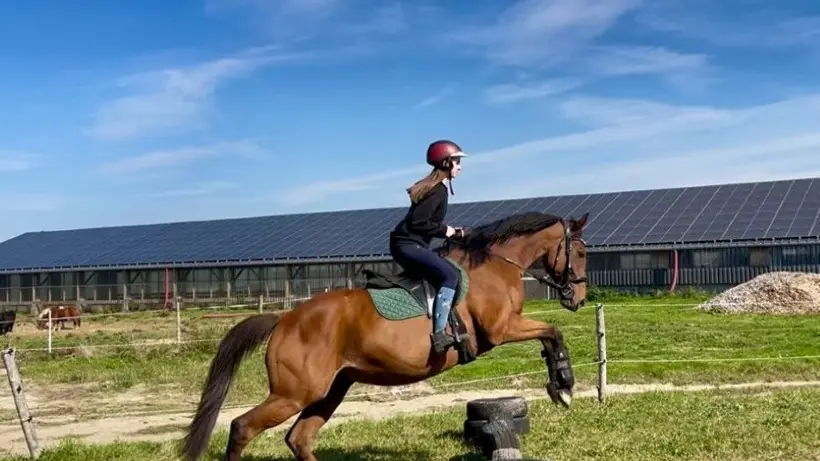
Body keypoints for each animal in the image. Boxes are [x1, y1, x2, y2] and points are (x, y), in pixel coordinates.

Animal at [181, 211, 590, 461]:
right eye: (582, 252)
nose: (580, 298)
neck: (494, 266)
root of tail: (284, 319)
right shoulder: (502, 329)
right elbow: (554, 333)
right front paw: (564, 386)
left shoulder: (508, 329)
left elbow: (550, 336)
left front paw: (561, 386)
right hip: (295, 393)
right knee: (243, 427)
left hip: (330, 390)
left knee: (299, 439)